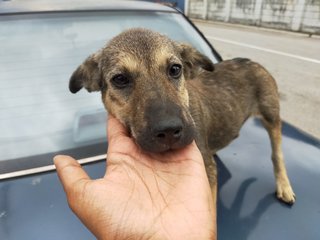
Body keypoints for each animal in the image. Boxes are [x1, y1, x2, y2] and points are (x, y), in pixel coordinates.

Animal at [69, 27, 296, 204]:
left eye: (175, 69)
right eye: (120, 79)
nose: (169, 130)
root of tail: (251, 61)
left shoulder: (208, 172)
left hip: (271, 116)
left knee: (277, 153)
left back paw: (284, 185)